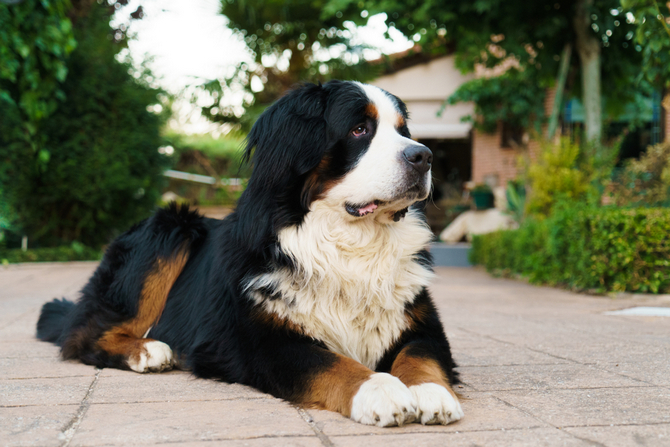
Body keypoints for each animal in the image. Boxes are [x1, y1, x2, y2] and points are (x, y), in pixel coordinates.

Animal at [35, 79, 462, 428]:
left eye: (403, 131)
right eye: (360, 129)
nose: (423, 156)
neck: (351, 243)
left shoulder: (421, 321)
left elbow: (421, 355)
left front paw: (433, 393)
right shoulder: (261, 341)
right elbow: (330, 363)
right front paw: (380, 389)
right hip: (171, 229)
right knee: (84, 336)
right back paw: (148, 351)